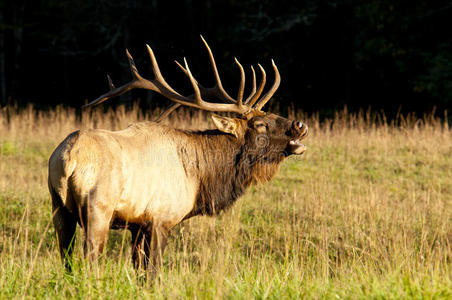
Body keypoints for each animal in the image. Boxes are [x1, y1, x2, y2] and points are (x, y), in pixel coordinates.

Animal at [47, 37, 308, 272]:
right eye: (261, 124)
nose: (300, 125)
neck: (200, 179)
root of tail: (68, 158)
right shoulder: (161, 218)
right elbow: (153, 272)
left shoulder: (138, 226)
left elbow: (139, 270)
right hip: (98, 207)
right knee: (90, 260)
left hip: (58, 207)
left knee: (66, 260)